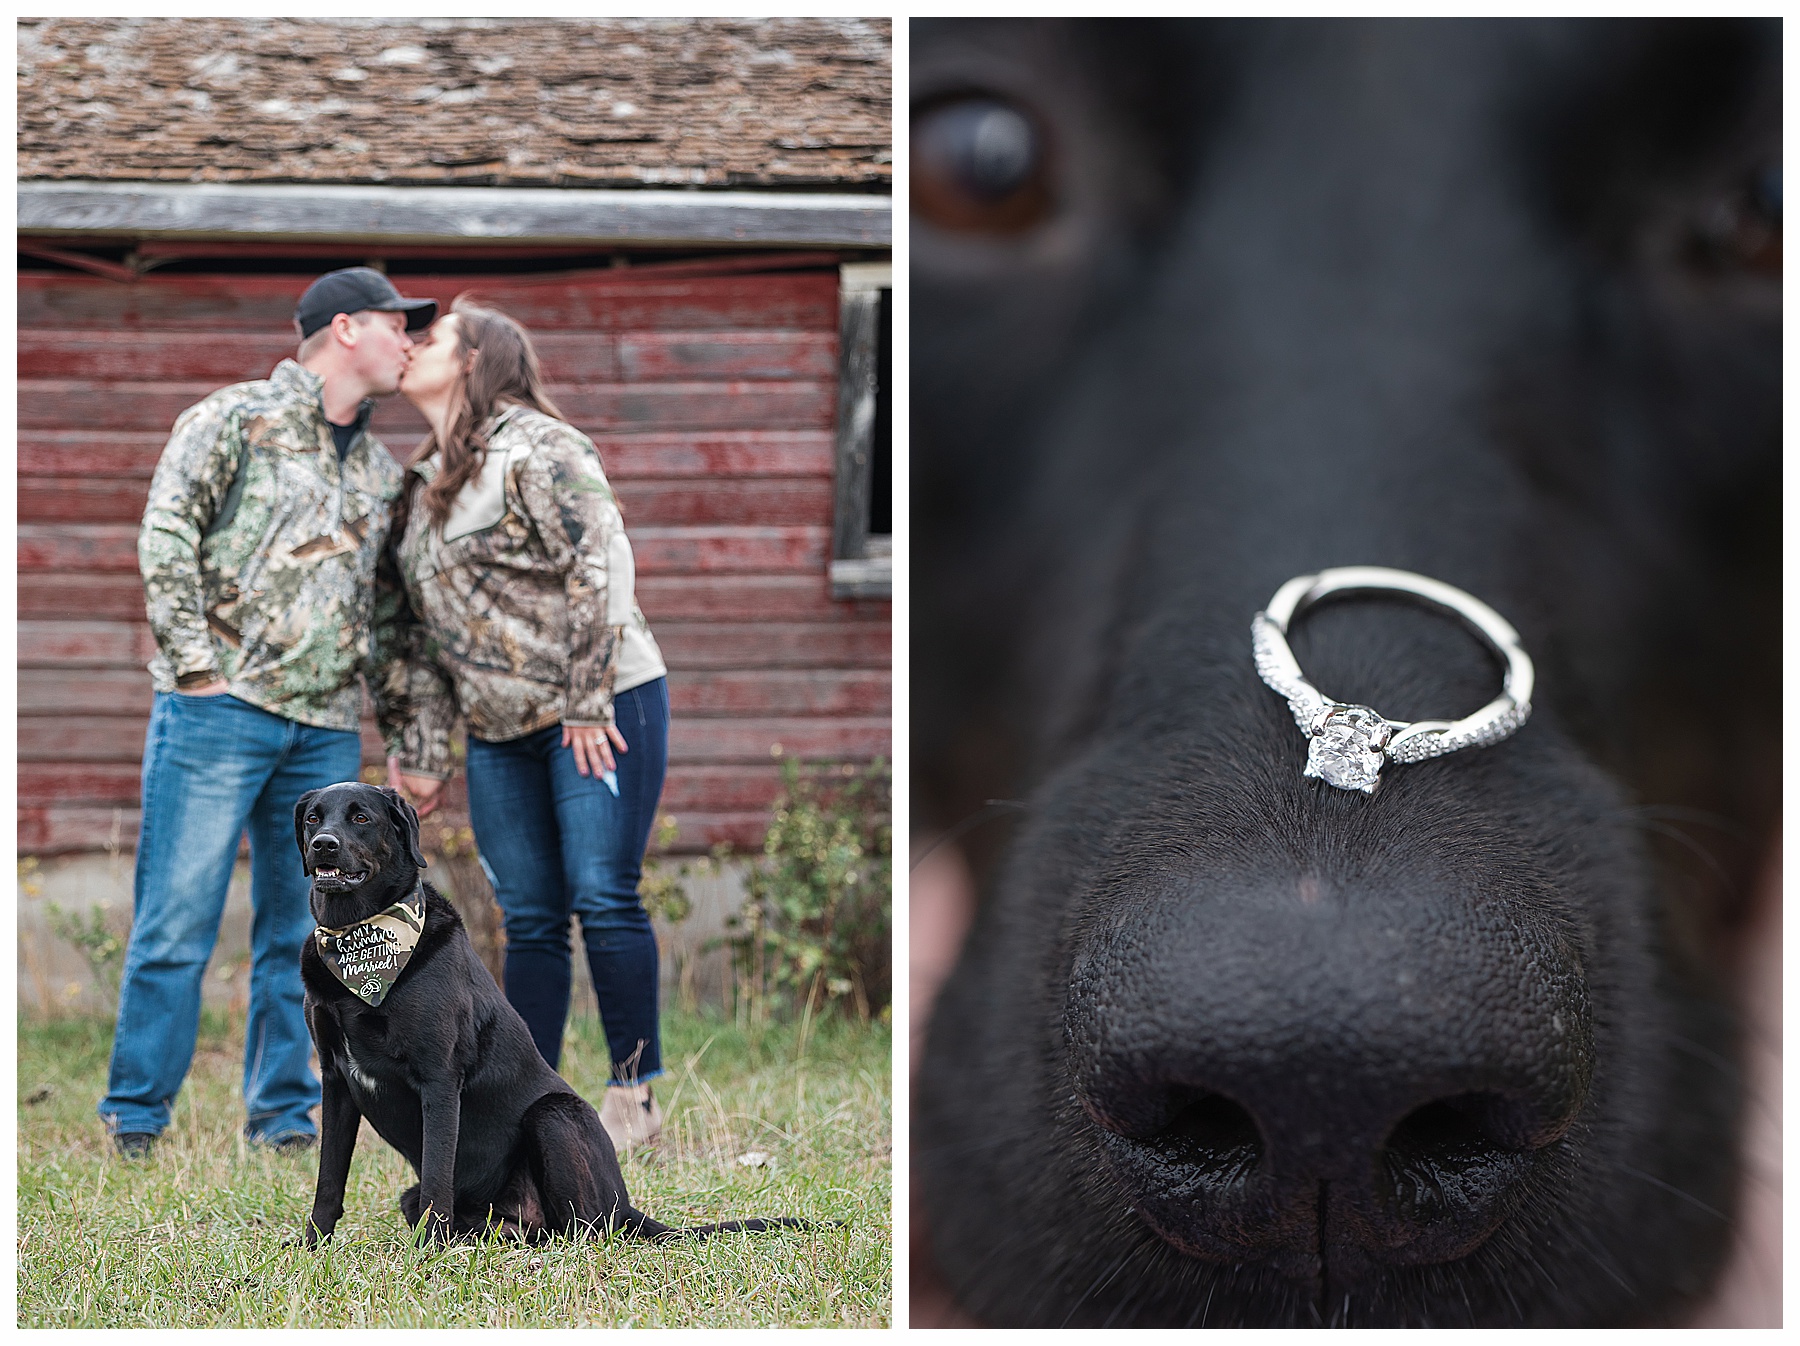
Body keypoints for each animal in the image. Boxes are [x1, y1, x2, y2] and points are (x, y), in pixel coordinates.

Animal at [295, 784, 802, 1245]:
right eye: (313, 818)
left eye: (362, 818)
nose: (324, 844)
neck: (359, 939)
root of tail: (626, 1205)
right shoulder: (336, 1081)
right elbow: (328, 1178)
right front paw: (312, 1244)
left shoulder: (438, 1078)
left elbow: (438, 1181)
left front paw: (428, 1254)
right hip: (436, 1193)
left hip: (553, 1116)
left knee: (586, 1229)